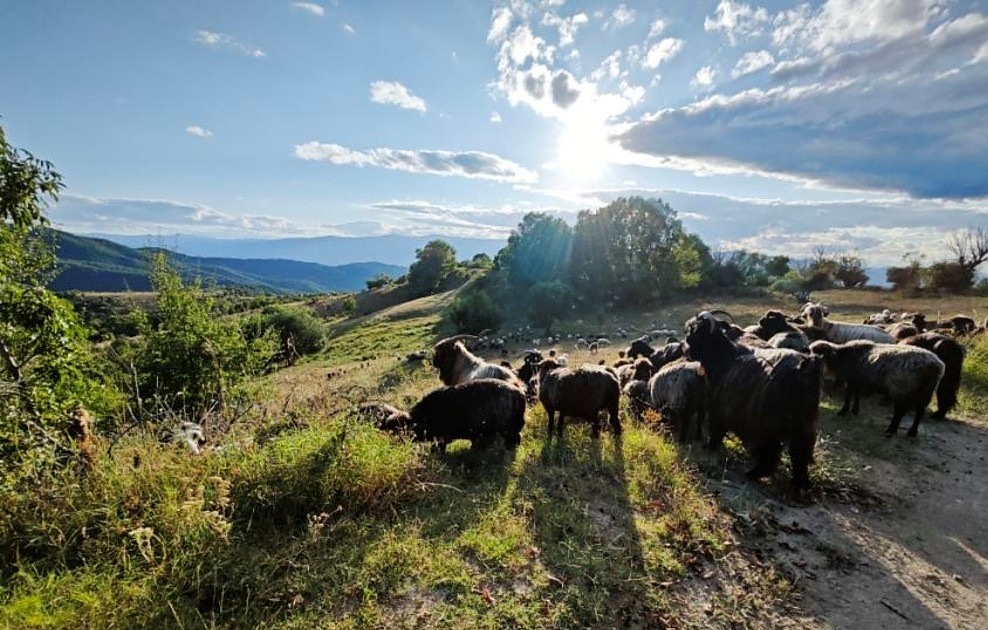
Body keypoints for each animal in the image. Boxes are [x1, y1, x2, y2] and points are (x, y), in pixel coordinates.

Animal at [684, 314, 824, 496]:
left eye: (696, 331)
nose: (687, 346)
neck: (726, 357)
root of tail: (806, 365)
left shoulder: (719, 407)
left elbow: (716, 430)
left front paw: (710, 446)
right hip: (805, 425)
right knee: (800, 454)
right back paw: (799, 485)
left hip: (770, 423)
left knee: (771, 453)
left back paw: (754, 473)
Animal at [812, 340, 948, 440]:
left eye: (819, 353)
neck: (842, 355)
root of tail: (935, 366)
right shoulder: (857, 379)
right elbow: (856, 394)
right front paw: (855, 410)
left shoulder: (851, 378)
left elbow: (849, 395)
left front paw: (843, 411)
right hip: (924, 392)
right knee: (919, 411)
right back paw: (912, 431)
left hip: (903, 389)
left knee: (900, 412)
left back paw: (890, 431)